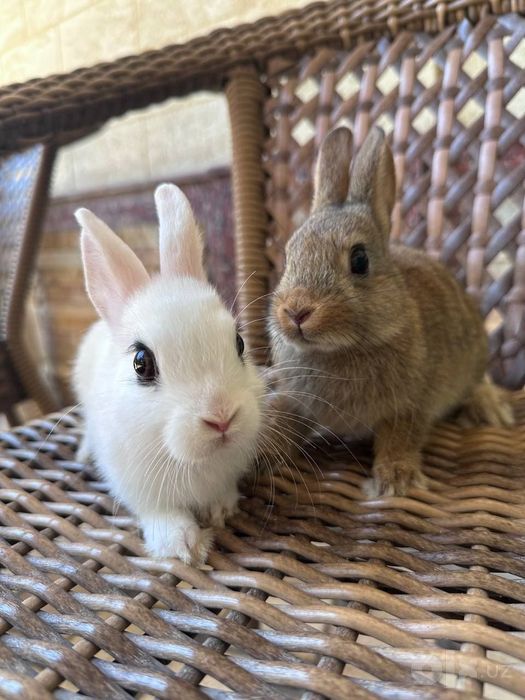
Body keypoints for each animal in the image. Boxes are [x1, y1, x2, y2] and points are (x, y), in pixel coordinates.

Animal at [73, 184, 264, 563]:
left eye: (239, 342)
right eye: (141, 363)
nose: (221, 418)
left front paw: (220, 511)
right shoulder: (138, 487)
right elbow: (160, 513)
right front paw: (184, 545)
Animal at [266, 126, 514, 498]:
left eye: (359, 260)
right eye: (288, 255)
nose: (296, 311)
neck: (341, 351)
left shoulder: (410, 406)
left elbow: (400, 439)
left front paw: (397, 480)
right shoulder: (299, 401)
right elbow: (282, 421)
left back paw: (490, 409)